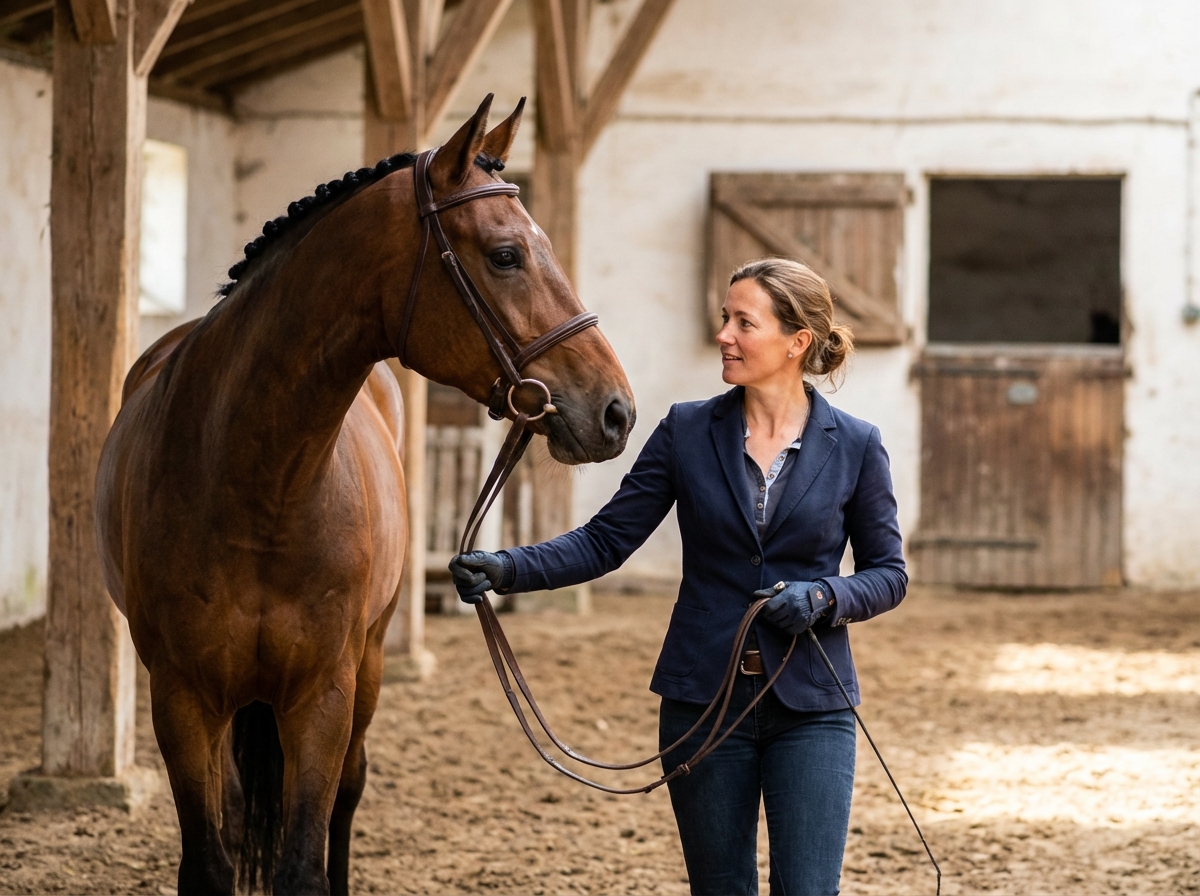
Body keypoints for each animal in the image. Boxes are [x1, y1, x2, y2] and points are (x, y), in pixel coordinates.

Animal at [95, 95, 634, 895]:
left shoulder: (324, 696)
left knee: (347, 795)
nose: (615, 410)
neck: (256, 487)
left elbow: (304, 860)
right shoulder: (180, 699)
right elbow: (210, 860)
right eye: (506, 254)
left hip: (370, 668)